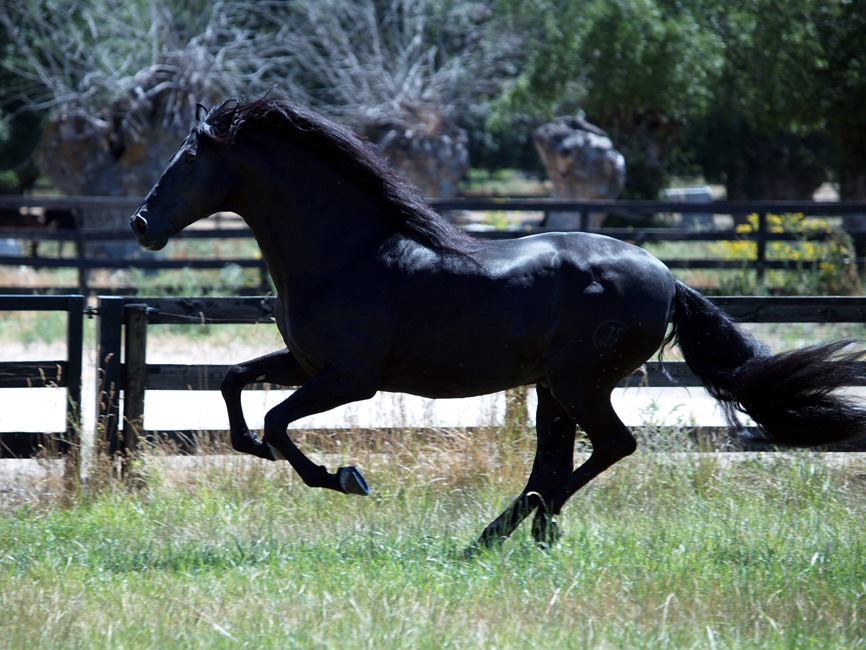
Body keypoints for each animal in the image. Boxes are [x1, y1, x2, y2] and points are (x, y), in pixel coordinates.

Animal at [132, 97, 864, 552]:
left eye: (189, 159)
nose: (141, 224)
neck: (346, 253)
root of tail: (665, 276)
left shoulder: (351, 378)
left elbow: (278, 419)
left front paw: (345, 478)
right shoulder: (308, 364)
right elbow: (234, 384)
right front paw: (258, 452)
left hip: (579, 382)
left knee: (610, 446)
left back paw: (503, 533)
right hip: (554, 389)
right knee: (557, 459)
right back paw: (522, 531)